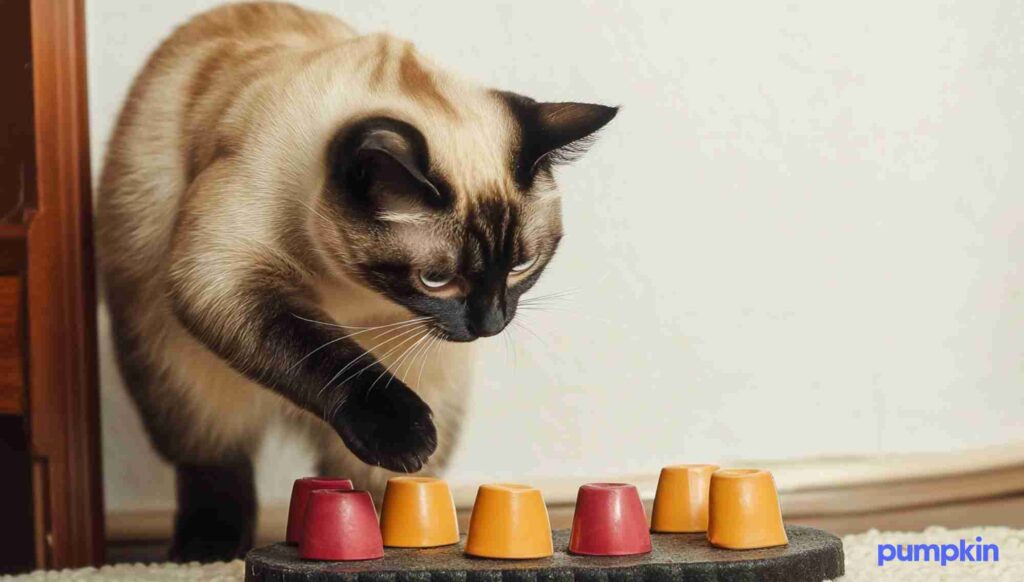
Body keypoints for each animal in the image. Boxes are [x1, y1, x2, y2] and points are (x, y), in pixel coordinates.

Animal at [97, 1, 614, 565]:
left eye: (522, 266)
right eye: (436, 279)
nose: (491, 324)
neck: (344, 286)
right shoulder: (224, 272)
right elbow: (325, 352)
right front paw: (403, 434)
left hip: (435, 382)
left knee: (379, 484)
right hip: (186, 384)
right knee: (214, 465)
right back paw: (206, 551)